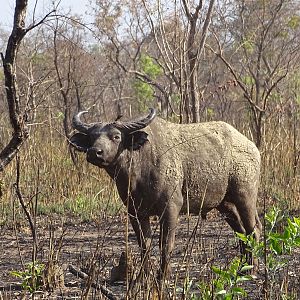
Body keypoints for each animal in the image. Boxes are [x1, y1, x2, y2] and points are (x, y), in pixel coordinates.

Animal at [69, 109, 262, 280]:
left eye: (116, 136)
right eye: (92, 137)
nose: (94, 152)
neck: (139, 170)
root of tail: (251, 146)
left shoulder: (170, 208)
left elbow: (166, 244)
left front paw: (163, 276)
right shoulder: (135, 213)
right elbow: (144, 245)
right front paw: (142, 277)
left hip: (245, 197)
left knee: (254, 229)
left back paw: (253, 270)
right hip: (225, 205)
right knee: (241, 232)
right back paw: (243, 268)